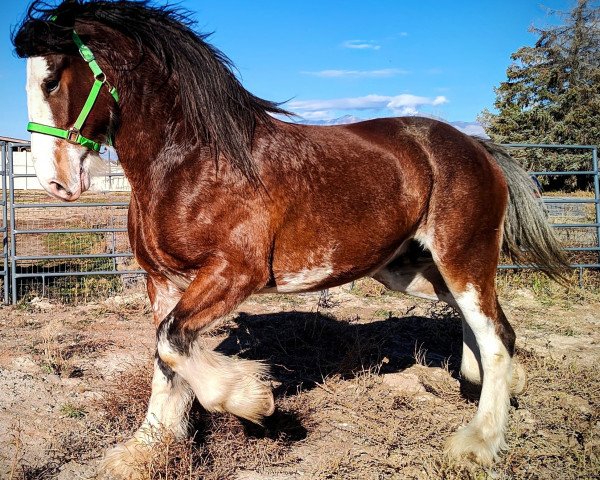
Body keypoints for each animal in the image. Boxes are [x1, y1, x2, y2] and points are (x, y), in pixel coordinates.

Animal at [11, 0, 568, 476]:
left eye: (52, 78)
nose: (55, 183)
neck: (191, 162)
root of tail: (476, 146)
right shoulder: (162, 282)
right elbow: (164, 359)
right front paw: (144, 450)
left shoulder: (234, 272)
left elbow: (172, 344)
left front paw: (252, 399)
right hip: (412, 271)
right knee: (488, 328)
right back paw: (490, 389)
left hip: (463, 257)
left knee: (496, 338)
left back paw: (478, 442)